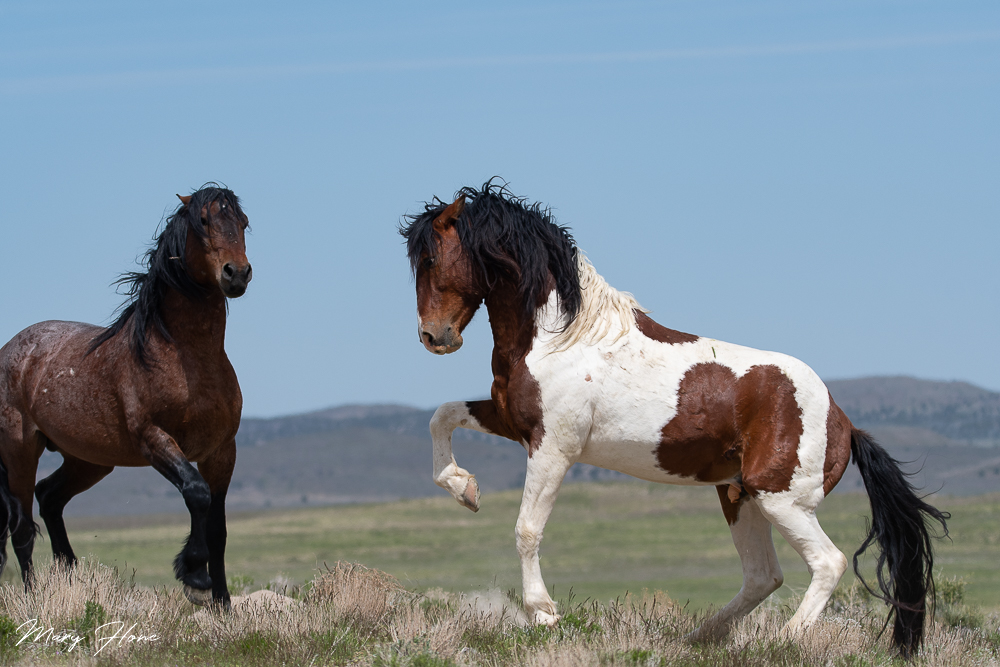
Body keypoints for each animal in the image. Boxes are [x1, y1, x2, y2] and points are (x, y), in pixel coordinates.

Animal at [0, 185, 252, 608]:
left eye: (244, 223)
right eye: (203, 220)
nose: (237, 273)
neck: (187, 357)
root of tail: (13, 347)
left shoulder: (221, 451)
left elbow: (218, 527)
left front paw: (222, 604)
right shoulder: (155, 441)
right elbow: (196, 494)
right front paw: (194, 575)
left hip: (88, 459)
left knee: (49, 497)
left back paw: (71, 578)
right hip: (20, 451)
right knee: (21, 527)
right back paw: (35, 600)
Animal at [402, 181, 948, 656]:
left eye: (431, 258)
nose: (434, 337)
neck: (559, 336)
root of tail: (845, 422)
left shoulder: (553, 446)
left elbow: (527, 530)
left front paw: (544, 614)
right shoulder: (512, 423)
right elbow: (441, 417)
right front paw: (465, 489)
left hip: (781, 499)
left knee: (827, 563)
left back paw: (781, 642)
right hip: (739, 496)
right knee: (763, 576)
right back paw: (699, 638)